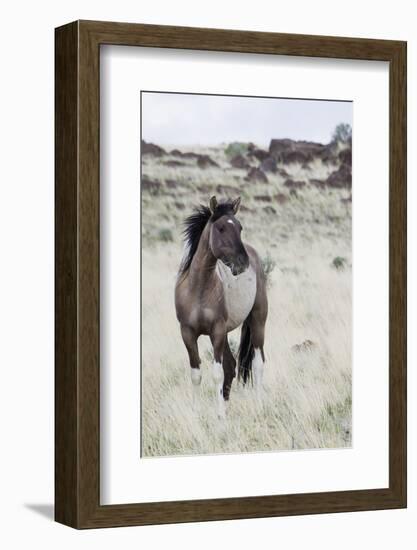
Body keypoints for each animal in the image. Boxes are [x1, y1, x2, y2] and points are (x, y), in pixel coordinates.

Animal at [174, 198, 268, 418]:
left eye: (240, 227)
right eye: (221, 228)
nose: (242, 263)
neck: (198, 288)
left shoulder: (216, 331)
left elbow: (217, 374)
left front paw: (220, 416)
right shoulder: (188, 333)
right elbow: (196, 373)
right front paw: (196, 413)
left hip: (258, 321)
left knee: (257, 363)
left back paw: (259, 406)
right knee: (232, 366)